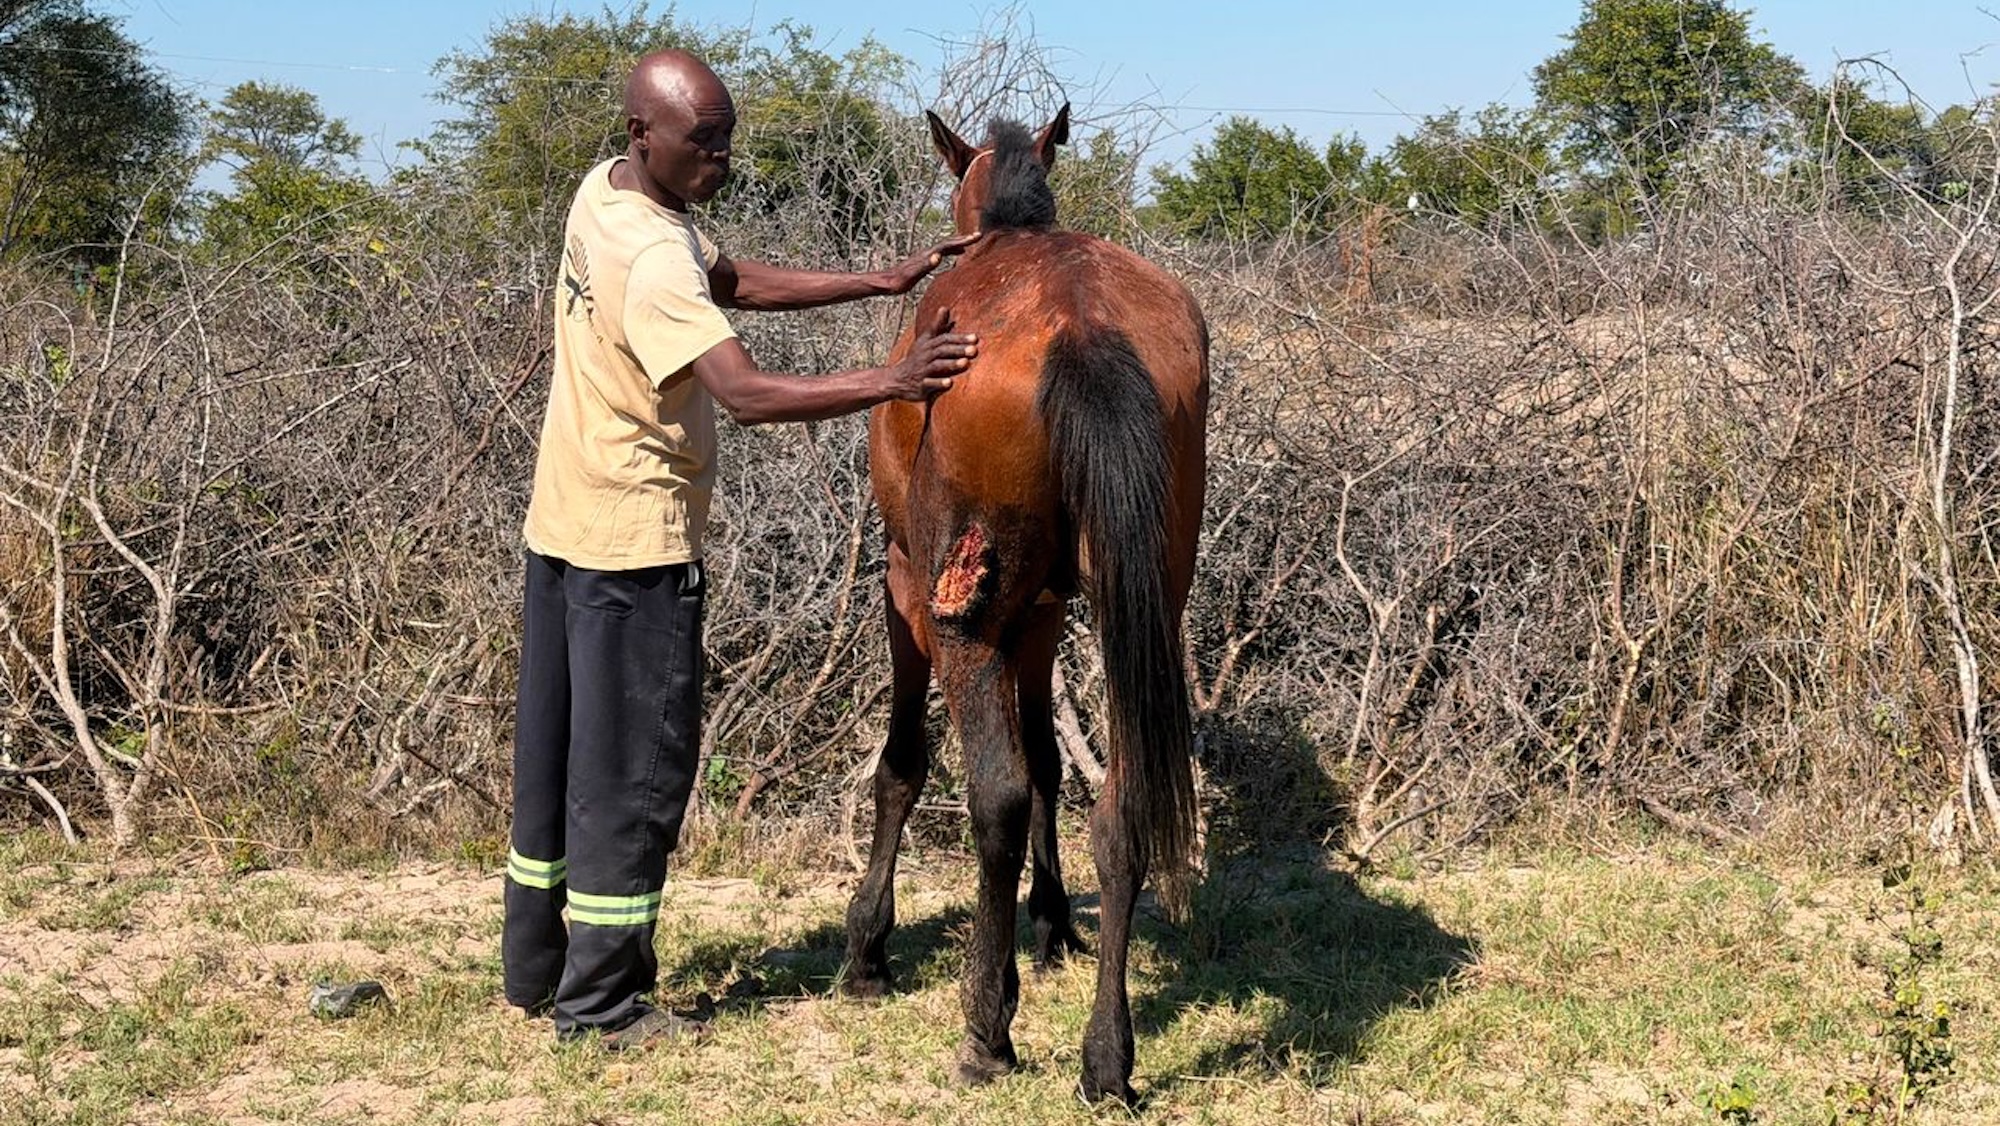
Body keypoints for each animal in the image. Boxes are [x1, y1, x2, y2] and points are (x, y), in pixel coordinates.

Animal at [841, 104, 1209, 1104]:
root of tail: (1083, 327)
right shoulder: (1044, 611)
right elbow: (1050, 760)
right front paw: (1050, 925)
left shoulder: (907, 588)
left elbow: (906, 765)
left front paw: (869, 947)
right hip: (1141, 600)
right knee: (1119, 807)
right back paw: (1107, 1057)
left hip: (961, 614)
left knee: (994, 799)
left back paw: (985, 1030)